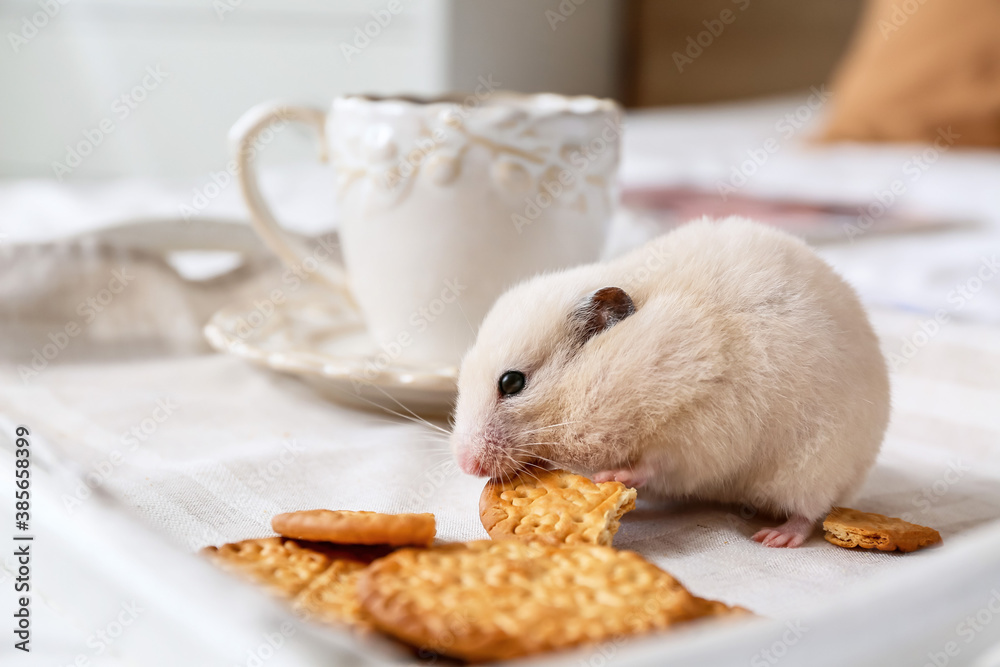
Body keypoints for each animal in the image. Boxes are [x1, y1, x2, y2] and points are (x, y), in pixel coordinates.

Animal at [454, 218, 892, 548]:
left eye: (512, 382)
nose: (464, 464)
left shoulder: (700, 426)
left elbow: (657, 463)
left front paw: (612, 478)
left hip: (815, 466)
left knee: (810, 511)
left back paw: (774, 537)